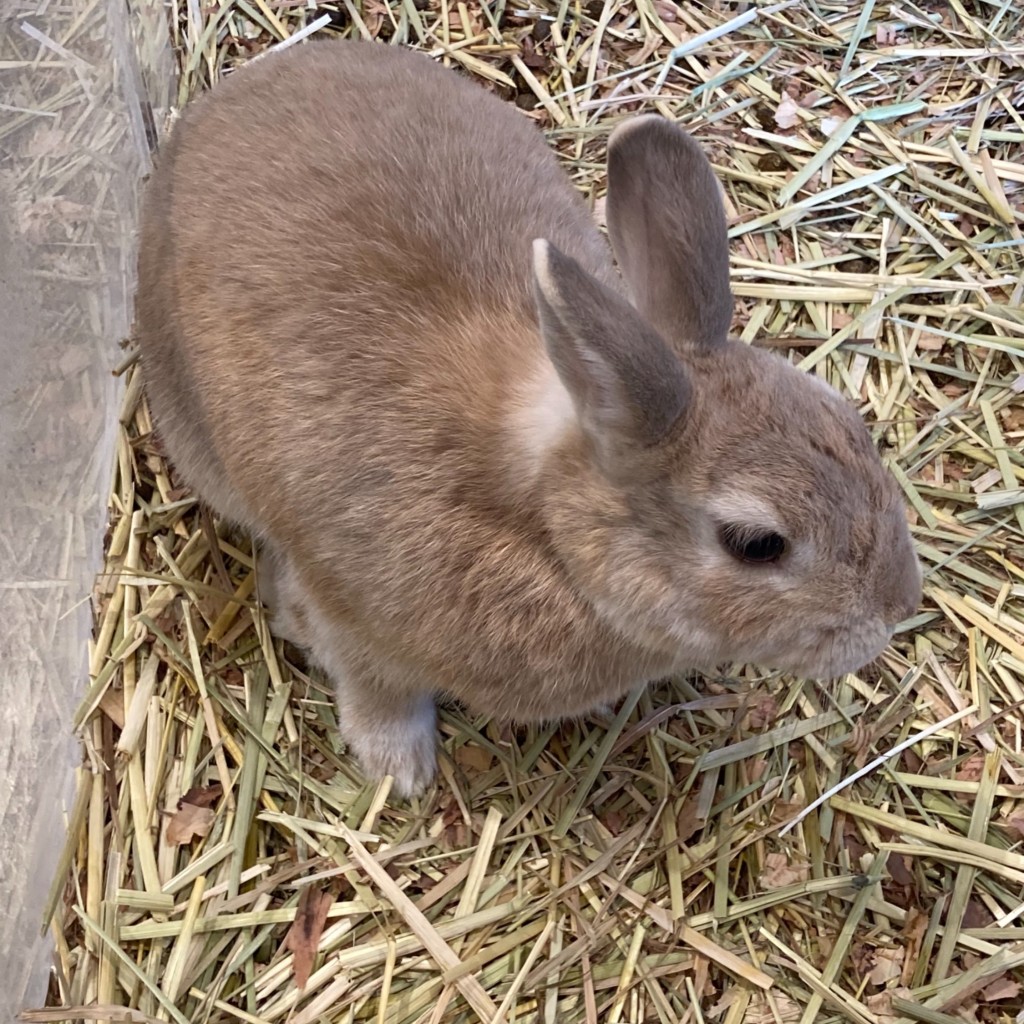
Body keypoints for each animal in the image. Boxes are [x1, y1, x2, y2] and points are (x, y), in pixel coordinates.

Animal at [132, 39, 925, 794]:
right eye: (756, 544)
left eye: (850, 422)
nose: (896, 609)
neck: (545, 520)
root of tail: (213, 106)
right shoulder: (353, 625)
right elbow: (374, 688)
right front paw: (398, 770)